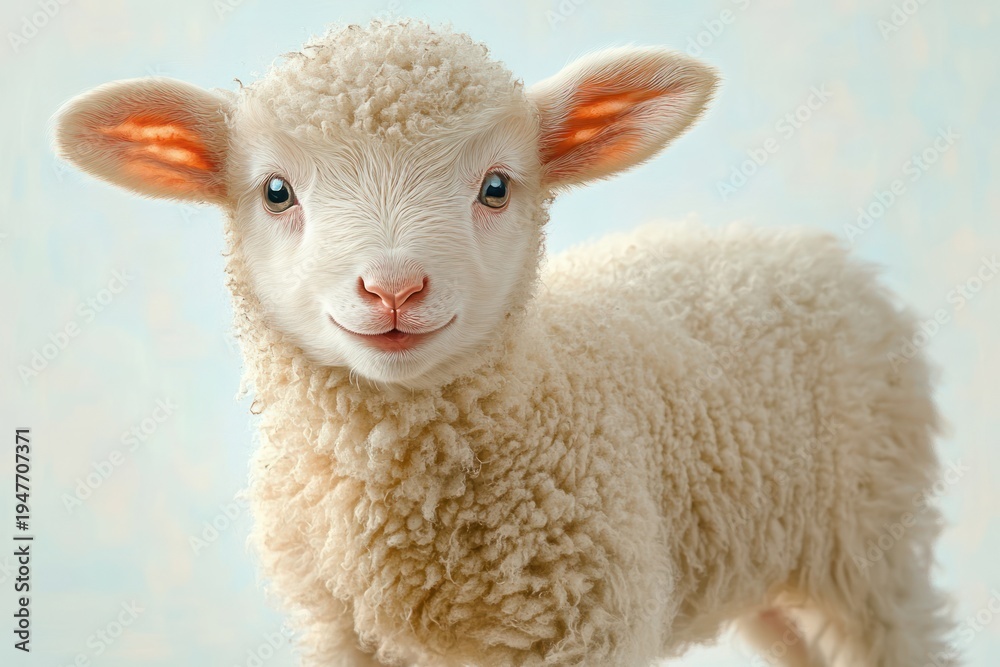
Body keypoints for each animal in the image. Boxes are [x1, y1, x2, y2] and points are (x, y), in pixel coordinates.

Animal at [53, 19, 955, 667]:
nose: (393, 289)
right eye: (276, 191)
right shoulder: (342, 630)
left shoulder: (588, 623)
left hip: (870, 541)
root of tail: (816, 250)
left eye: (495, 186)